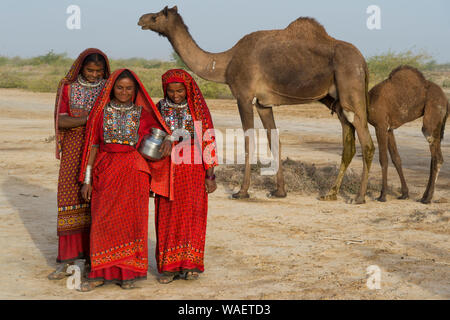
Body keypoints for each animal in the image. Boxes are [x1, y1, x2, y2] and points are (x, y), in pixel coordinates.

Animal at [138, 6, 376, 204]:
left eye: (156, 16)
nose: (141, 19)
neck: (225, 63)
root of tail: (363, 62)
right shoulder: (263, 104)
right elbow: (274, 139)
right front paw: (280, 191)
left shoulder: (244, 96)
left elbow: (248, 140)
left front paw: (241, 192)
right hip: (339, 101)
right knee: (349, 143)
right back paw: (331, 193)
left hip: (350, 86)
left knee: (366, 142)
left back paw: (358, 197)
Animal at [368, 66, 448, 204]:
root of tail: (446, 99)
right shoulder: (389, 129)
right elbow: (396, 158)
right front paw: (404, 194)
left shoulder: (380, 126)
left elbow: (383, 159)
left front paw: (382, 196)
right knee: (433, 158)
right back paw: (424, 196)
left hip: (431, 119)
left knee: (437, 158)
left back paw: (428, 198)